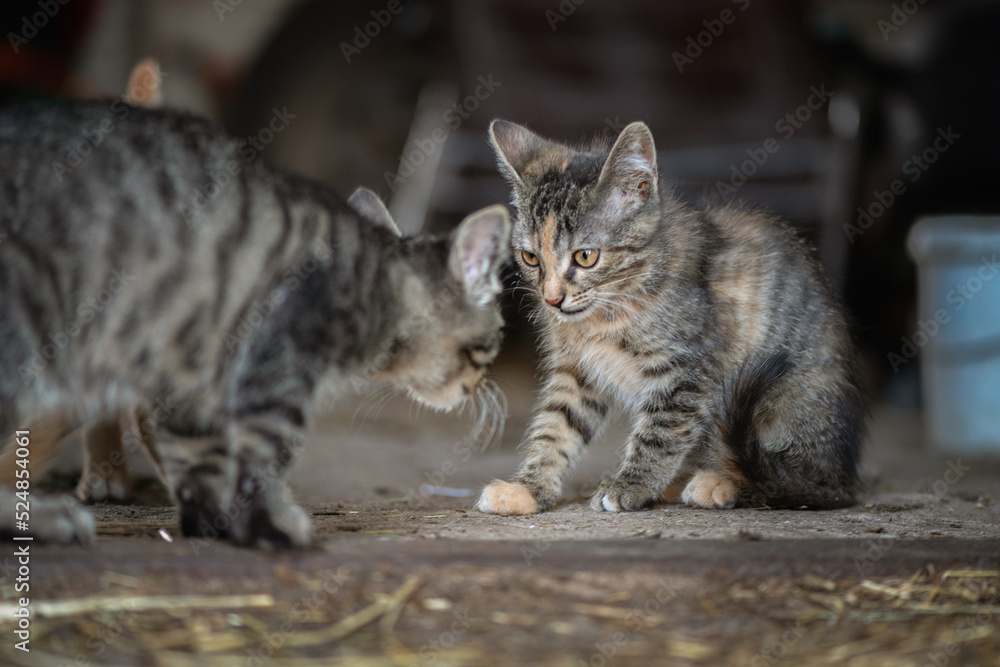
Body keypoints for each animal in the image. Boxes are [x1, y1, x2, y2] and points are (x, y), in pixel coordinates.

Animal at [0, 100, 512, 548]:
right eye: (493, 342)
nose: (482, 385)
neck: (372, 279)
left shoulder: (188, 375)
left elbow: (199, 460)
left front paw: (213, 523)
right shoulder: (277, 363)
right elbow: (264, 452)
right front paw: (270, 525)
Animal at [474, 121, 860, 516]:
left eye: (585, 256)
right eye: (531, 258)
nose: (552, 299)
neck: (608, 309)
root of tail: (843, 478)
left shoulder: (688, 371)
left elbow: (661, 432)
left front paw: (631, 484)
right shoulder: (575, 371)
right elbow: (556, 424)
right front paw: (528, 488)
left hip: (788, 402)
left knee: (787, 481)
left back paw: (719, 482)